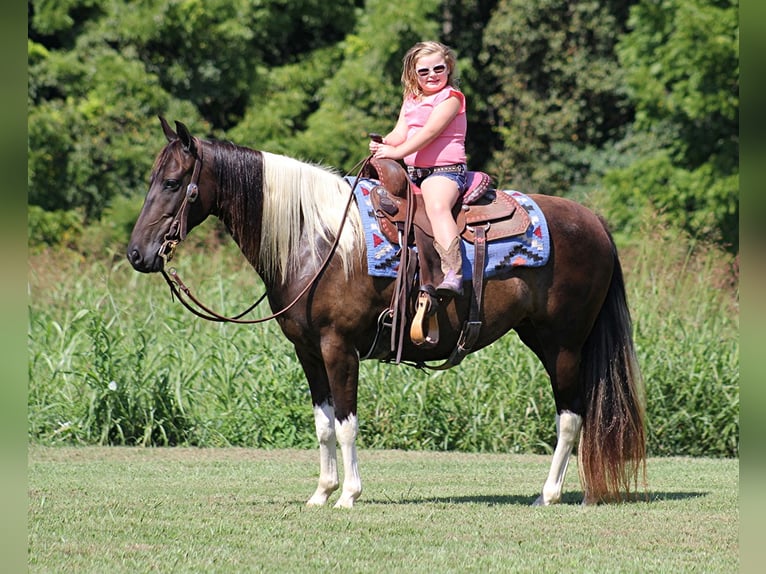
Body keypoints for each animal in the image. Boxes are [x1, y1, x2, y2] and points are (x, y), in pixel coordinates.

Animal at [127, 117, 648, 508]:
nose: (137, 254)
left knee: (571, 415)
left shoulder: (339, 348)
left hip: (563, 343)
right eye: (151, 180)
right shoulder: (308, 352)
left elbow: (347, 423)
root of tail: (593, 221)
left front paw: (348, 495)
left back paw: (549, 493)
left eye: (172, 182)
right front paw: (322, 492)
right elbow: (323, 425)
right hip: (540, 337)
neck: (317, 240)